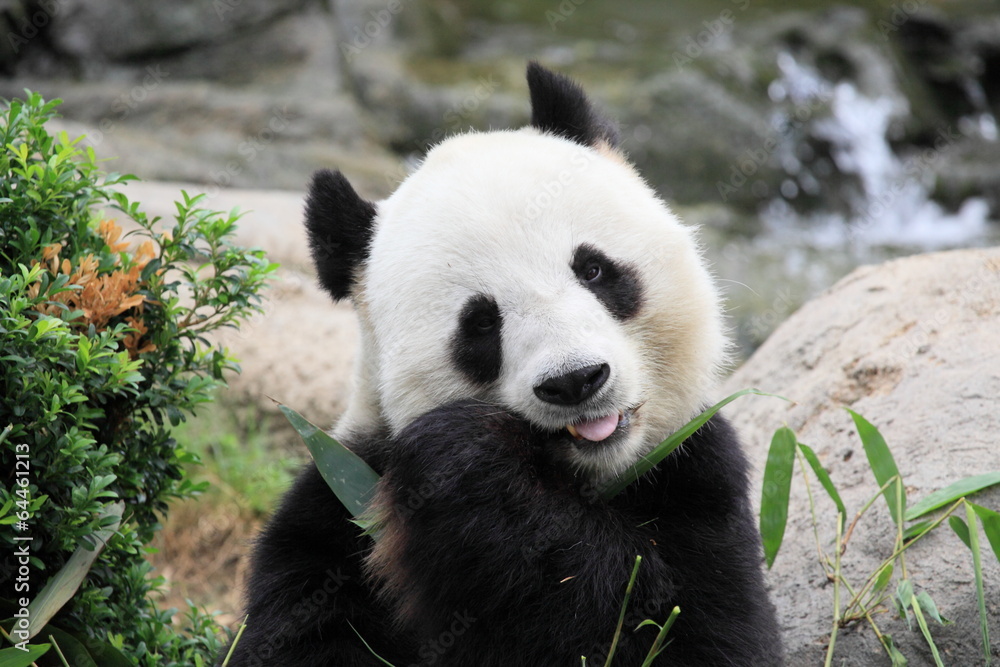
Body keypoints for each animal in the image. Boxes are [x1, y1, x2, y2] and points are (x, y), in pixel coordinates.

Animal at [223, 63, 783, 666]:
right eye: (481, 323)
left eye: (593, 269)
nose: (575, 380)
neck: (588, 479)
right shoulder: (338, 507)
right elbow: (304, 634)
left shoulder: (696, 476)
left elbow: (683, 631)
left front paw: (468, 461)